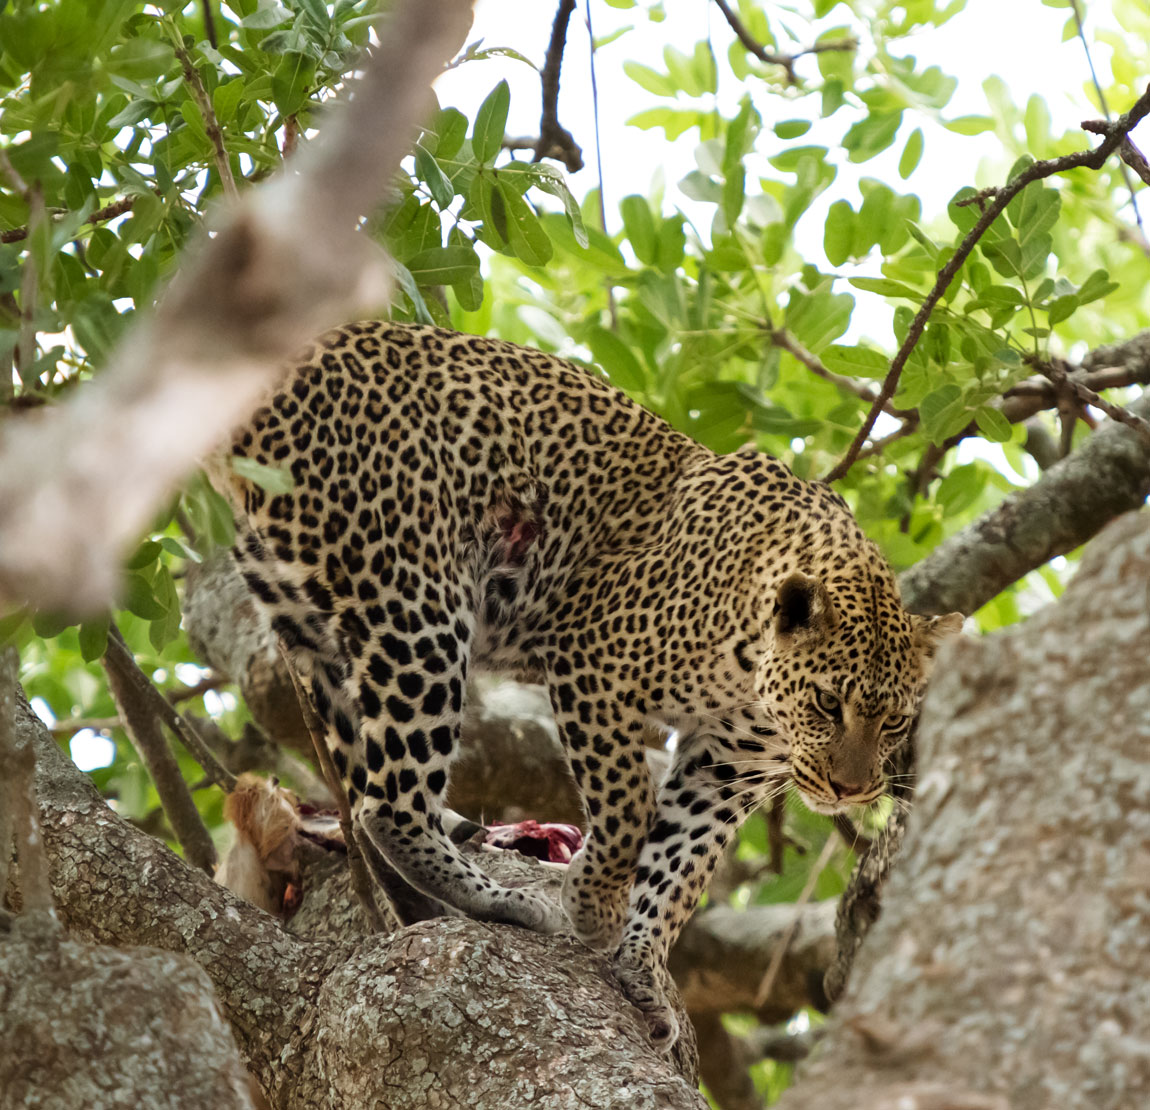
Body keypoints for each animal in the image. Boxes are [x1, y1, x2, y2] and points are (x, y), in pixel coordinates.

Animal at [209, 320, 962, 1050]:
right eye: (828, 704)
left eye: (896, 721)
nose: (850, 790)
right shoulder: (591, 657)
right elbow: (630, 807)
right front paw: (594, 908)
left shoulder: (727, 767)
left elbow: (682, 863)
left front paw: (643, 967)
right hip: (416, 599)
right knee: (387, 802)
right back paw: (498, 899)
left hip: (310, 615)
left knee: (359, 789)